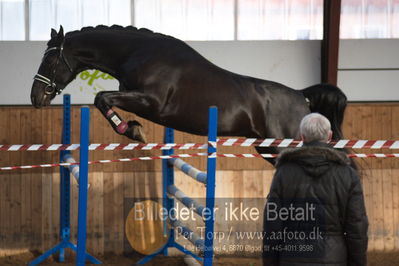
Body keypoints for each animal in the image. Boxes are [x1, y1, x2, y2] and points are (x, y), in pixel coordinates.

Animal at [29, 26, 348, 161]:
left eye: (50, 59)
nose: (36, 98)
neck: (137, 52)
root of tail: (301, 95)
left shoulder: (151, 101)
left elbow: (102, 98)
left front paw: (133, 130)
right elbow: (103, 99)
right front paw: (133, 129)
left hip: (285, 146)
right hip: (268, 147)